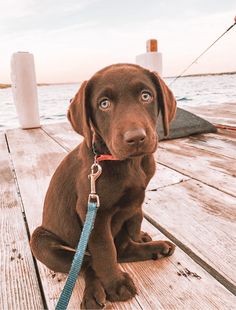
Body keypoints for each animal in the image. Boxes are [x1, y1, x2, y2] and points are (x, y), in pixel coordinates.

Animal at [30, 63, 176, 308]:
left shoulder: (136, 200)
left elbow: (134, 221)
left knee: (120, 249)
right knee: (86, 262)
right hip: (41, 241)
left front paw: (139, 236)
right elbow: (105, 250)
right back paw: (93, 292)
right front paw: (116, 284)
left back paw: (154, 248)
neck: (129, 163)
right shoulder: (95, 212)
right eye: (104, 104)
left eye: (146, 96)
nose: (136, 138)